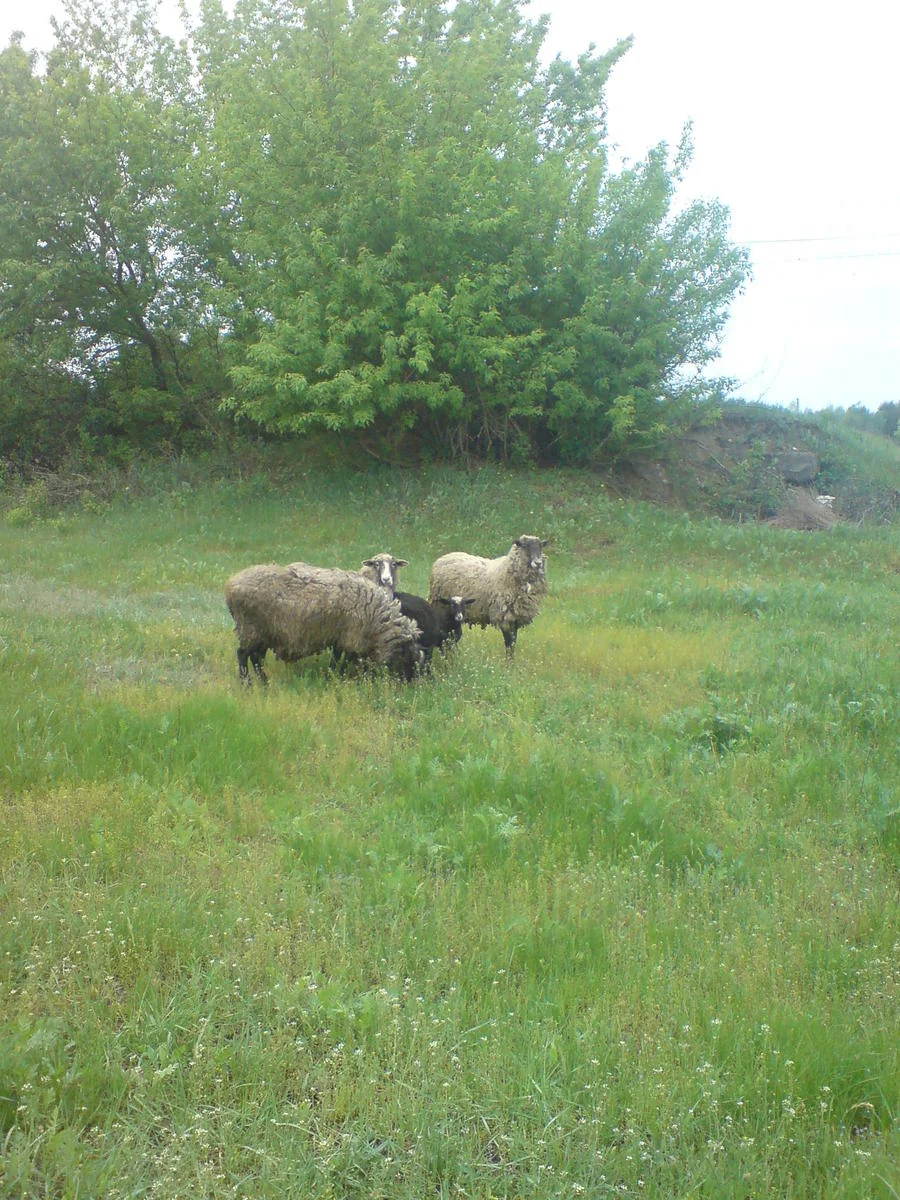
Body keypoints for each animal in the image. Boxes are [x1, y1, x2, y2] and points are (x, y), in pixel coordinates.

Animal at [225, 562, 424, 685]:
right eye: (409, 659)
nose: (411, 685)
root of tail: (230, 585)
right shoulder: (351, 637)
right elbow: (343, 660)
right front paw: (337, 677)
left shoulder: (341, 637)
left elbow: (337, 658)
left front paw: (333, 675)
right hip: (250, 627)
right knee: (242, 655)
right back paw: (247, 684)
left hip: (264, 632)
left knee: (256, 658)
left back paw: (264, 683)